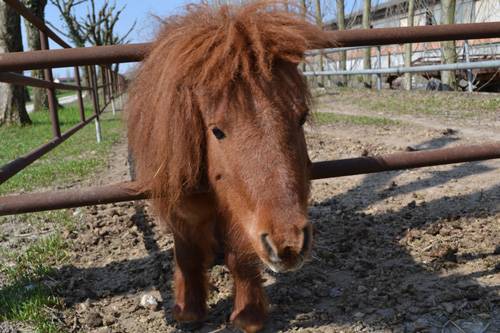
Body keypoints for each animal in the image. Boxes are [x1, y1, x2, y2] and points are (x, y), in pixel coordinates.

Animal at [125, 1, 328, 330]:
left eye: (301, 117)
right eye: (217, 131)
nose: (289, 244)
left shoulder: (240, 214)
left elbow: (239, 259)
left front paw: (248, 315)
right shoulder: (181, 209)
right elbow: (187, 256)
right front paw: (188, 310)